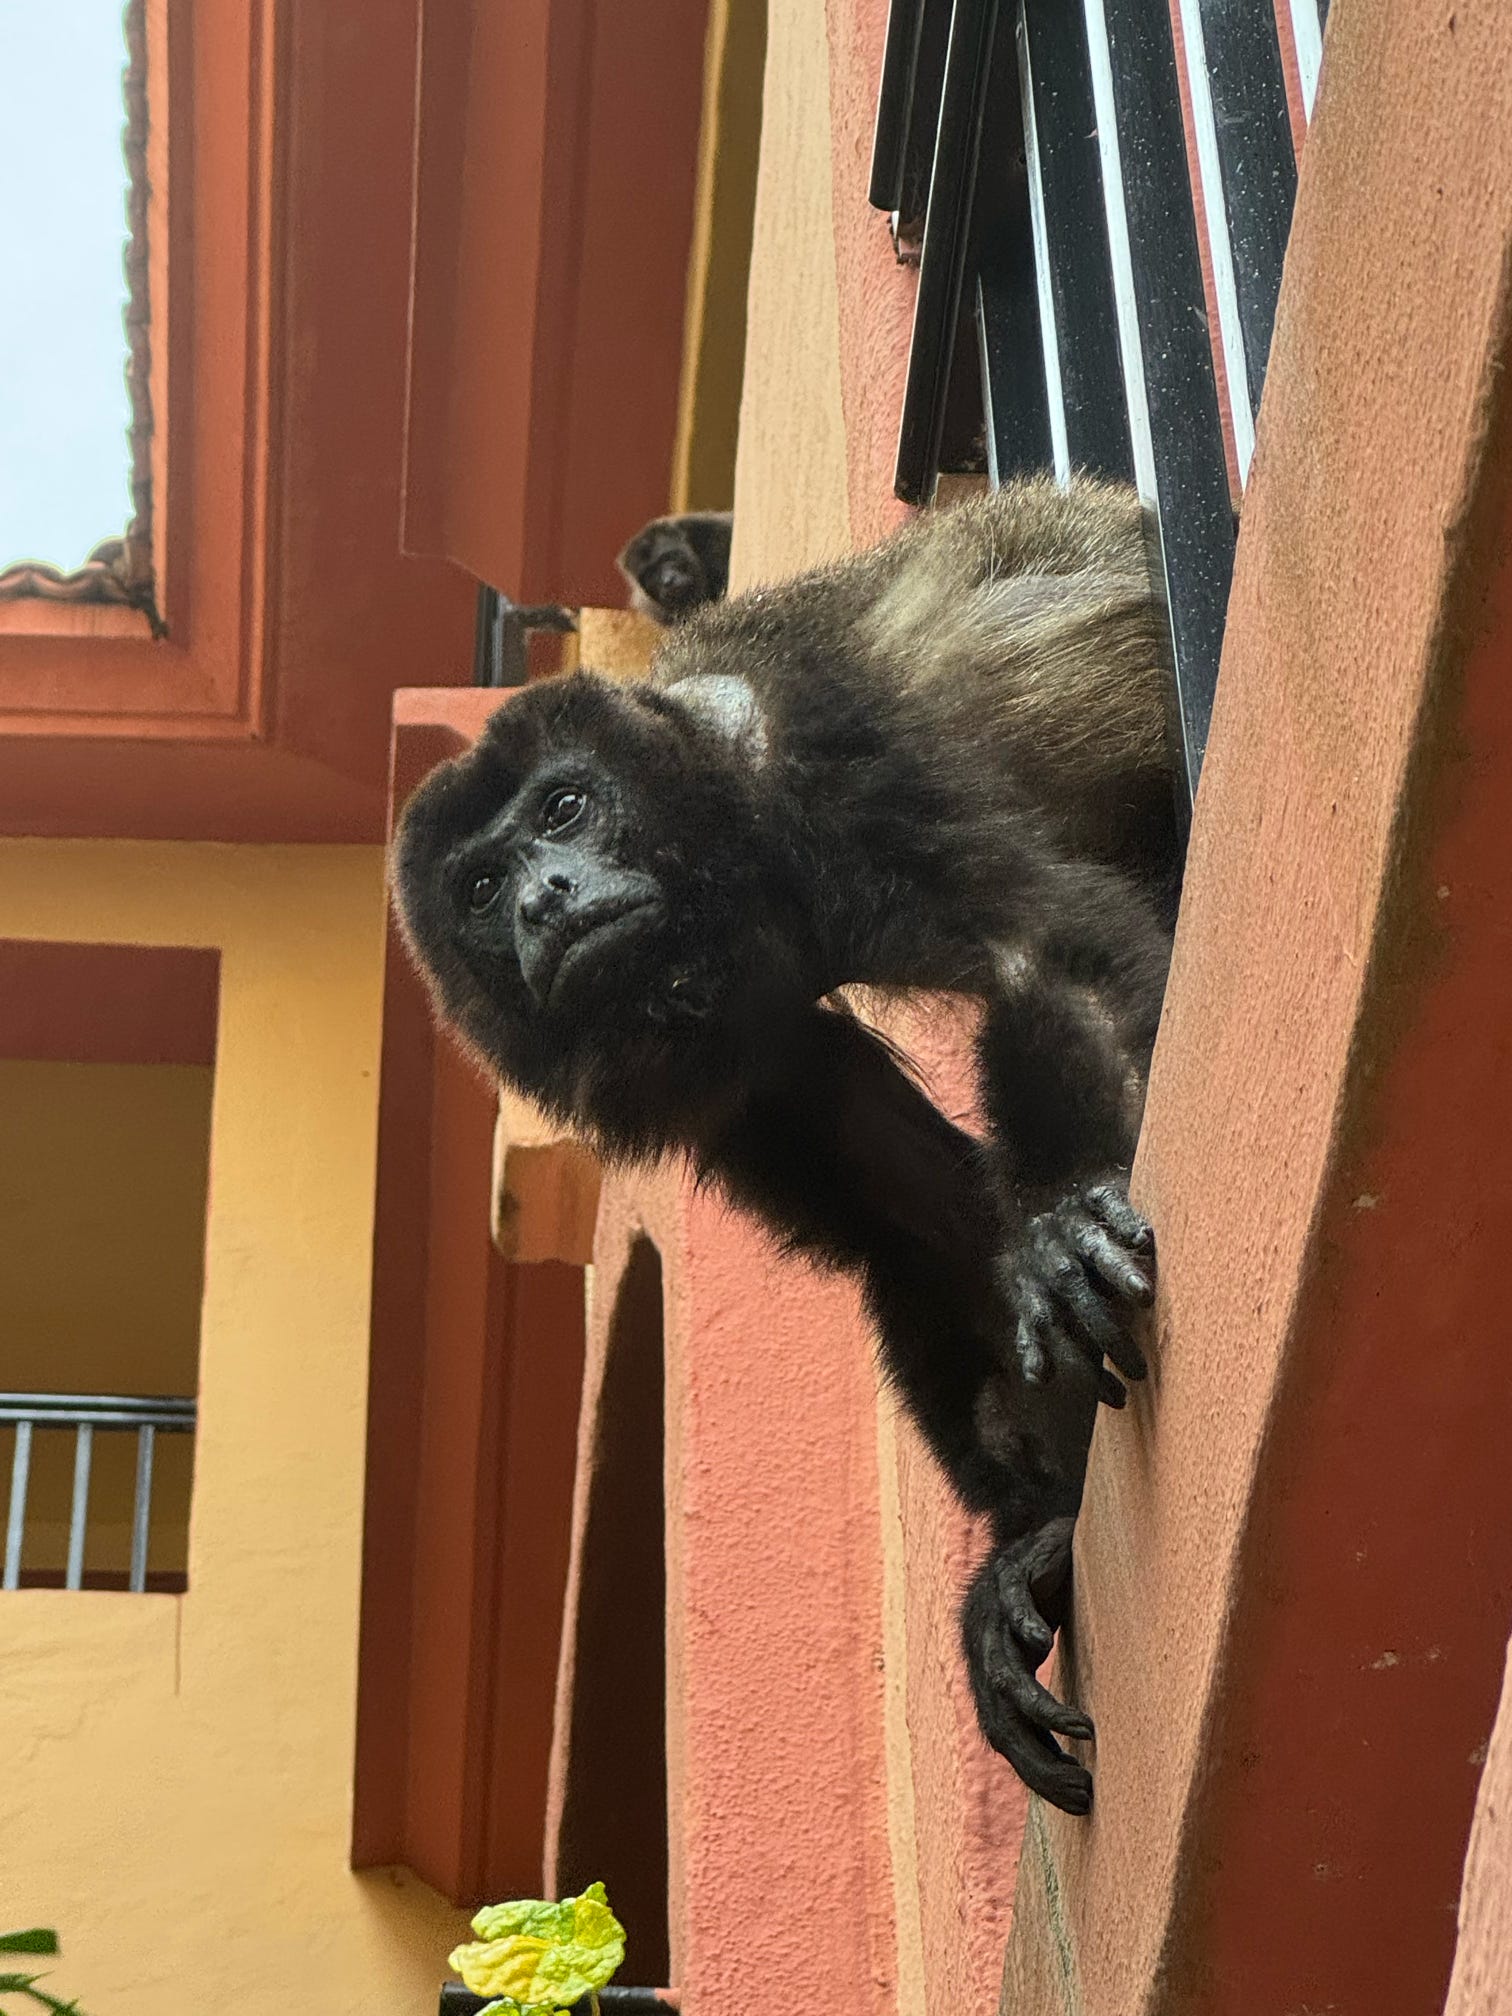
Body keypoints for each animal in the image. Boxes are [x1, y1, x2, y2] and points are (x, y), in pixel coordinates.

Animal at [395, 475, 1179, 1815]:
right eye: (486, 887)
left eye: (566, 807)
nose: (549, 895)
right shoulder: (746, 1058)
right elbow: (901, 1208)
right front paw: (1034, 1530)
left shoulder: (835, 754)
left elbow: (1043, 955)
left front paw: (1073, 1205)